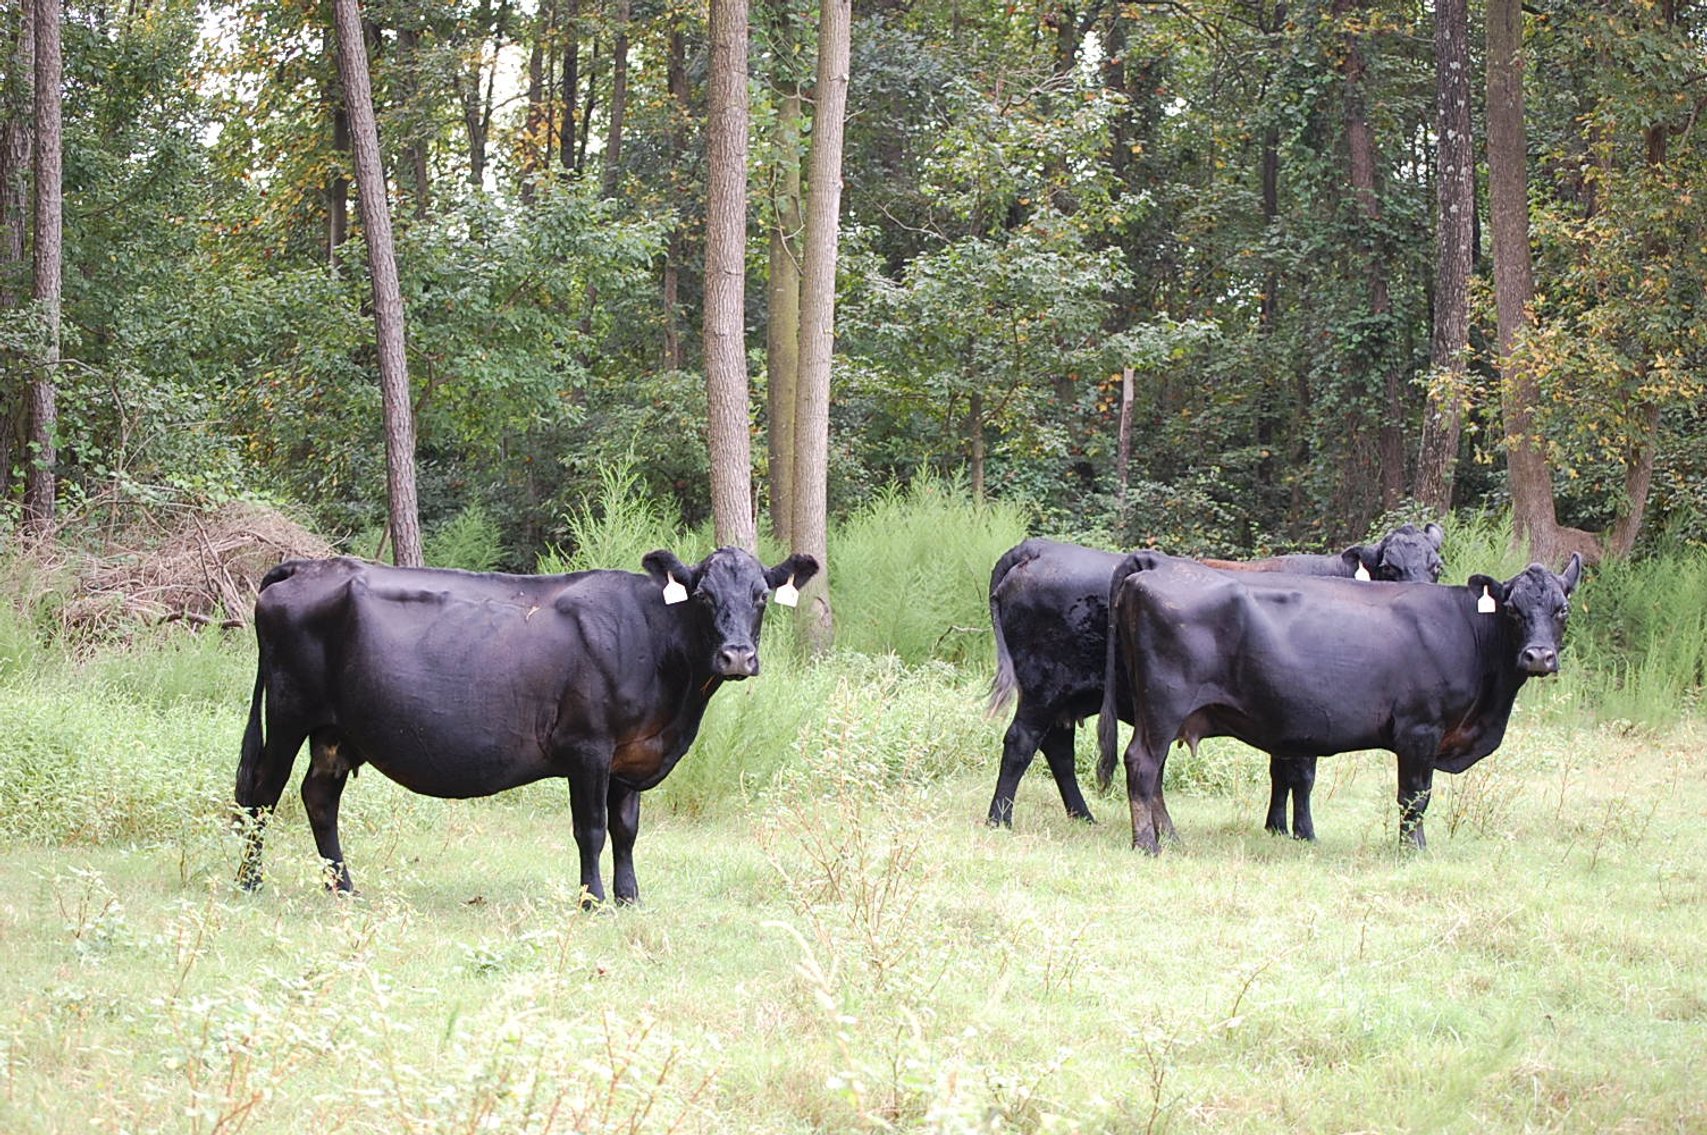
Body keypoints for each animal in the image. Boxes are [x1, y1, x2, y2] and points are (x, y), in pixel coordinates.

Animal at [233, 547, 818, 905]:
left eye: (761, 597)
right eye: (703, 596)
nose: (737, 656)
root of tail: (304, 566)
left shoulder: (632, 754)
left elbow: (627, 830)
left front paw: (630, 897)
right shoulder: (588, 747)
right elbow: (592, 828)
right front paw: (593, 901)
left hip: (337, 730)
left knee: (318, 797)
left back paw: (344, 888)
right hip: (288, 712)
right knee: (261, 794)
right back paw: (250, 882)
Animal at [983, 523, 1445, 834]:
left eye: (1435, 567)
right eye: (1390, 567)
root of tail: (1037, 547)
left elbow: (1282, 771)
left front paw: (1277, 827)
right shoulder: (1311, 708)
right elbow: (1301, 774)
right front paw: (1304, 833)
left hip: (1067, 696)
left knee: (1057, 748)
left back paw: (1083, 815)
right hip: (1045, 686)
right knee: (1022, 742)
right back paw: (1000, 819)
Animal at [1095, 550, 1581, 853]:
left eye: (1562, 609)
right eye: (1513, 609)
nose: (1538, 656)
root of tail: (1152, 568)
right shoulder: (1420, 729)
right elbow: (1414, 796)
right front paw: (1413, 850)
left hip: (1161, 712)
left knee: (1155, 773)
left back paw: (1171, 838)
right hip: (1164, 704)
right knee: (1142, 764)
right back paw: (1148, 844)